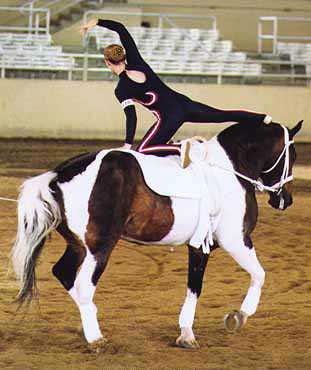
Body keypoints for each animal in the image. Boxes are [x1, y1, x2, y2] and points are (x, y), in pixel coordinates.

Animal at [11, 120, 302, 350]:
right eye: (294, 154)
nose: (285, 200)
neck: (229, 170)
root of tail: (60, 173)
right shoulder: (236, 241)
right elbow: (256, 275)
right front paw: (238, 316)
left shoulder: (198, 247)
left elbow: (194, 286)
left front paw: (187, 333)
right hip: (100, 247)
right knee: (83, 283)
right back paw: (96, 339)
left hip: (78, 245)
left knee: (64, 273)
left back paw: (91, 320)